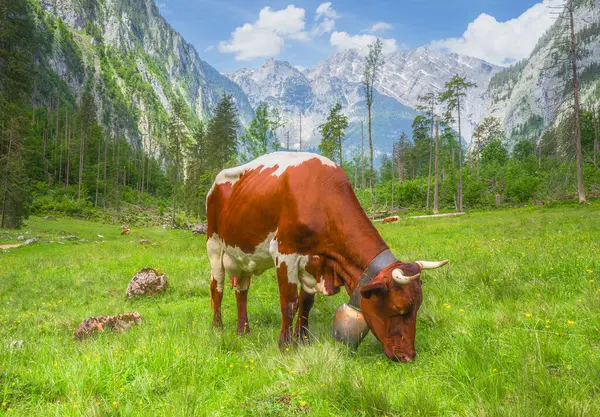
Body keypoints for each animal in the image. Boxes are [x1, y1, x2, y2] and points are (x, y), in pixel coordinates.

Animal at [206, 151, 446, 360]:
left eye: (418, 306)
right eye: (400, 307)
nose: (409, 356)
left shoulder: (315, 263)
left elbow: (306, 303)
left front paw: (302, 341)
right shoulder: (285, 254)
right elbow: (289, 302)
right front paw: (285, 346)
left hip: (243, 257)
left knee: (242, 291)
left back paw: (243, 331)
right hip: (214, 246)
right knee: (217, 287)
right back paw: (218, 327)